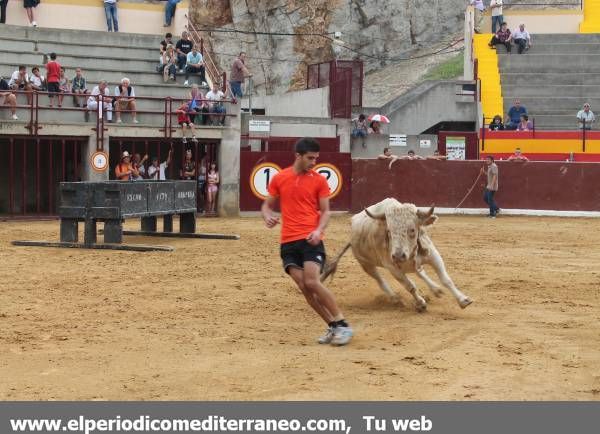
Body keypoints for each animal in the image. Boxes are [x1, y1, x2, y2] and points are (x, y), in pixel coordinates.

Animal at [322, 198, 472, 310]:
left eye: (412, 230)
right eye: (389, 231)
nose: (399, 256)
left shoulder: (433, 255)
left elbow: (446, 279)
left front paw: (463, 300)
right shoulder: (392, 267)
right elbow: (410, 286)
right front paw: (420, 303)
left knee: (420, 272)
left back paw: (435, 289)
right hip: (366, 264)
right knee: (380, 280)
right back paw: (395, 298)